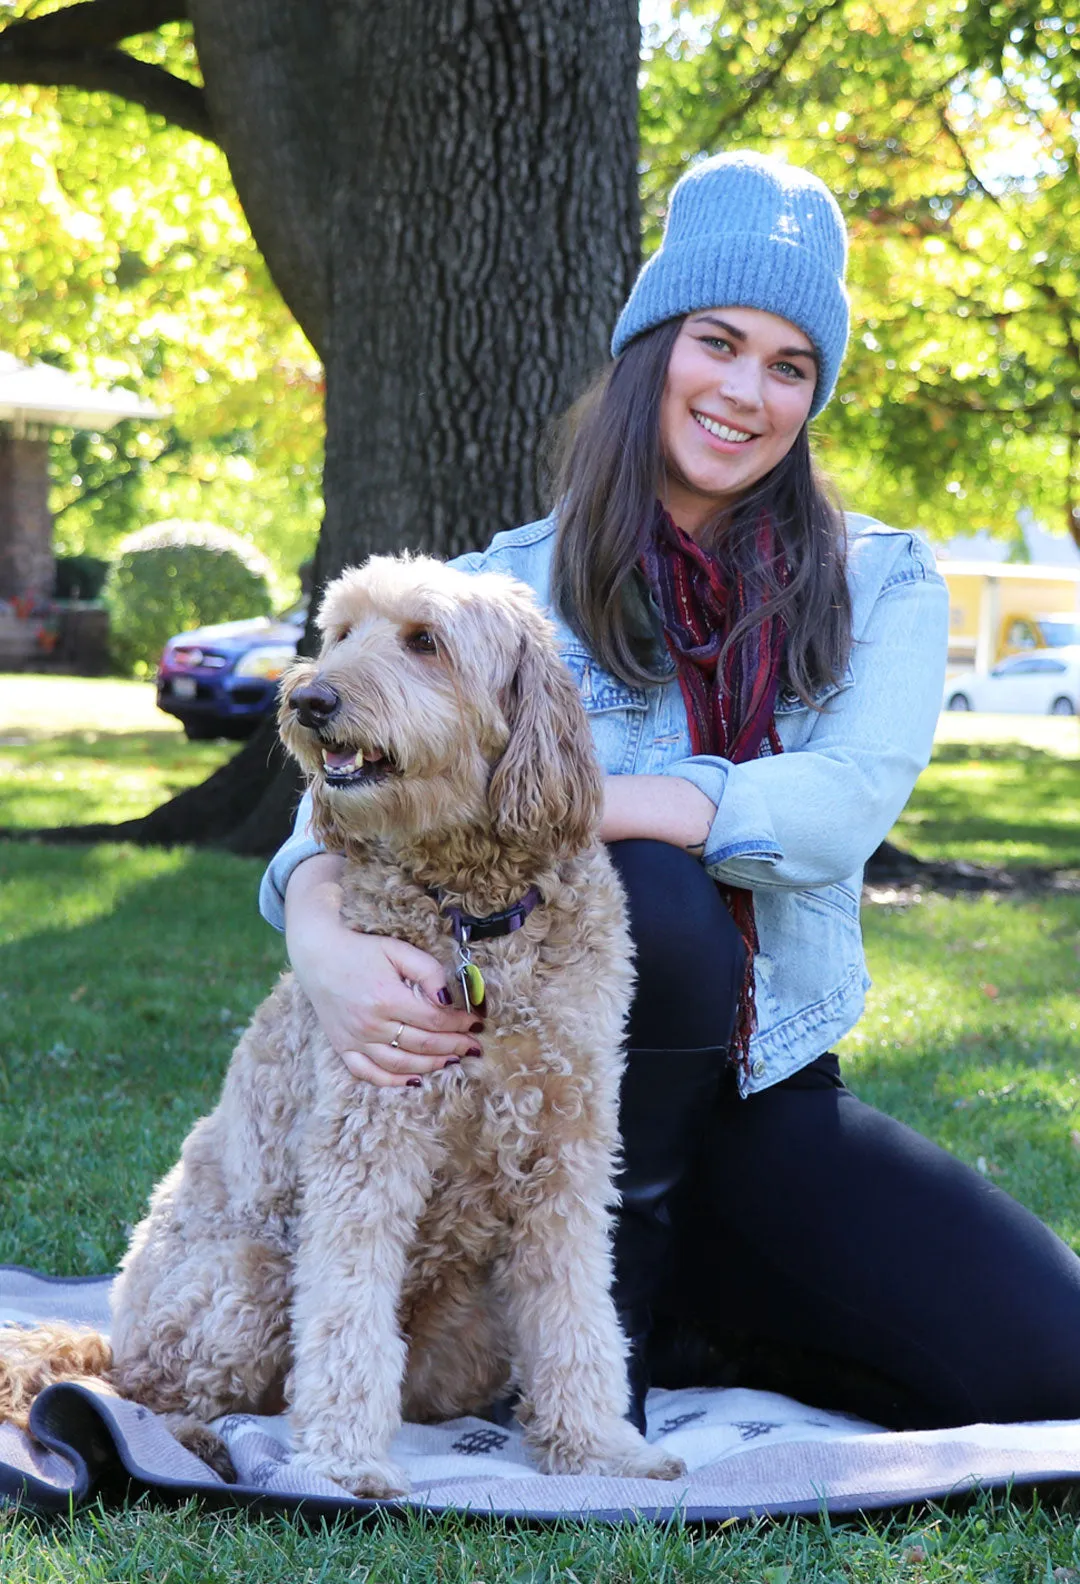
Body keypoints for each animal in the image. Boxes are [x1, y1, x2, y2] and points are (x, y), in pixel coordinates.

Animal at [2, 557, 680, 1495]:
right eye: (342, 633)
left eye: (425, 641)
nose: (309, 699)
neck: (471, 914)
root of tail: (113, 1323)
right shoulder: (368, 1138)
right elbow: (346, 1311)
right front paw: (343, 1463)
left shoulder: (567, 1151)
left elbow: (579, 1309)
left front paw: (598, 1450)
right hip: (246, 1274)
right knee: (137, 1388)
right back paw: (201, 1445)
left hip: (472, 1338)